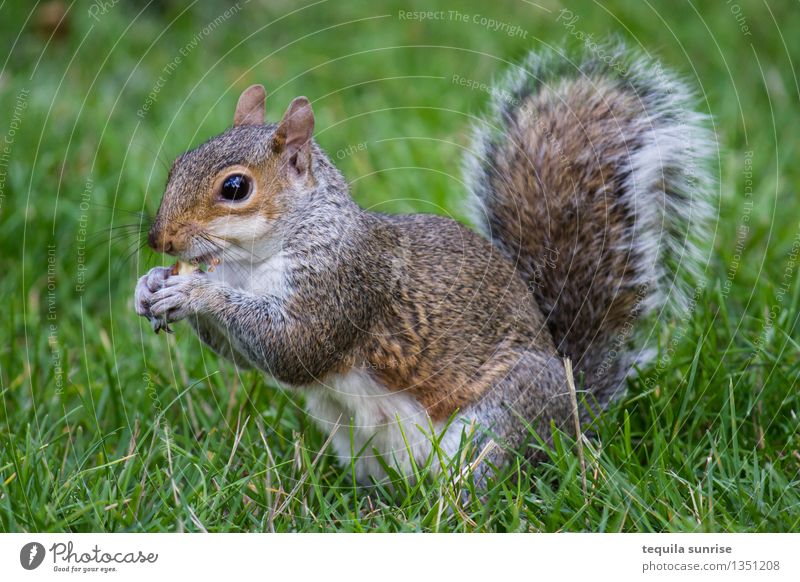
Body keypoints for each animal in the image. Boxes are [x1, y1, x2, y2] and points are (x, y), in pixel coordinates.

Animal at [133, 44, 712, 484]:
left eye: (235, 188)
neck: (254, 262)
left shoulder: (346, 284)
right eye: (177, 163)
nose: (159, 240)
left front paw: (196, 294)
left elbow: (294, 347)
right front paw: (149, 286)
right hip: (355, 442)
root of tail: (575, 409)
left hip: (500, 419)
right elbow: (247, 358)